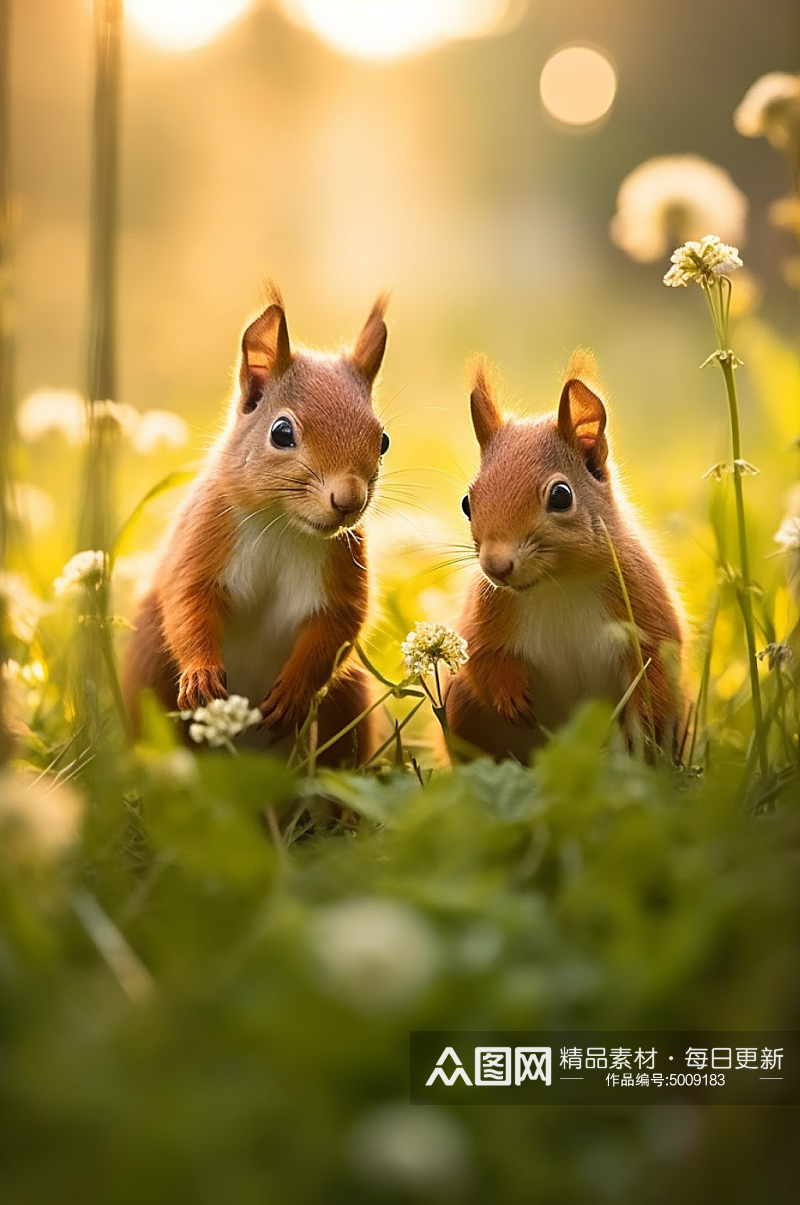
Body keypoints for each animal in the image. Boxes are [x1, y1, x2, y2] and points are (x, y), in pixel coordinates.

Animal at [119, 286, 390, 766]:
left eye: (383, 441)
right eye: (281, 432)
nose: (349, 501)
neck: (283, 525)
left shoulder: (342, 564)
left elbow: (337, 626)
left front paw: (293, 693)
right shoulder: (206, 534)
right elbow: (188, 599)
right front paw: (201, 675)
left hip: (351, 697)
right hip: (148, 657)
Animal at [443, 351, 689, 761]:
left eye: (561, 496)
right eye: (466, 502)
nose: (496, 567)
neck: (558, 584)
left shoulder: (642, 596)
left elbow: (656, 661)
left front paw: (643, 725)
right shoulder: (486, 610)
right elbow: (481, 656)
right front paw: (511, 697)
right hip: (462, 710)